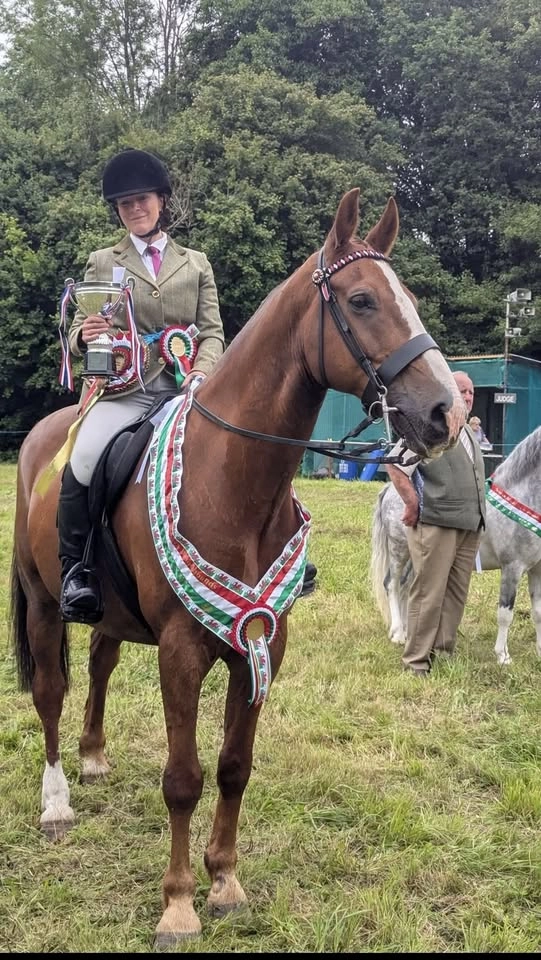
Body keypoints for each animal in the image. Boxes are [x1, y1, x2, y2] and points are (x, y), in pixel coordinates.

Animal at [9, 188, 465, 946]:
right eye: (362, 300)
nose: (444, 413)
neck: (232, 479)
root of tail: (47, 433)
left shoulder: (262, 642)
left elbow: (232, 767)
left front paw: (223, 881)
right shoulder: (181, 652)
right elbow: (183, 777)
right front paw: (178, 904)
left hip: (112, 611)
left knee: (100, 661)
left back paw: (95, 755)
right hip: (45, 601)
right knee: (50, 692)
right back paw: (56, 803)